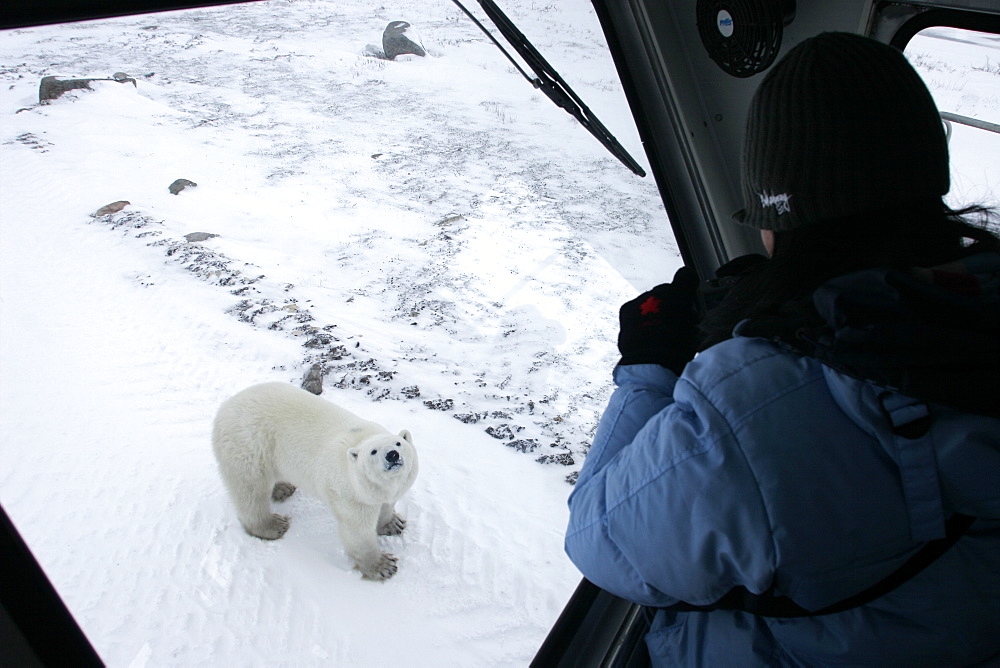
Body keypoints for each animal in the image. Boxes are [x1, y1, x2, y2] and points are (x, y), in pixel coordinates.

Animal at [211, 380, 418, 580]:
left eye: (398, 443)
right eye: (373, 452)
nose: (392, 455)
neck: (360, 439)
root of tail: (223, 409)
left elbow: (387, 505)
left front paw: (393, 523)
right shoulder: (348, 494)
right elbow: (358, 532)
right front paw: (383, 566)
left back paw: (283, 488)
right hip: (248, 445)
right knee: (251, 491)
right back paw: (273, 525)